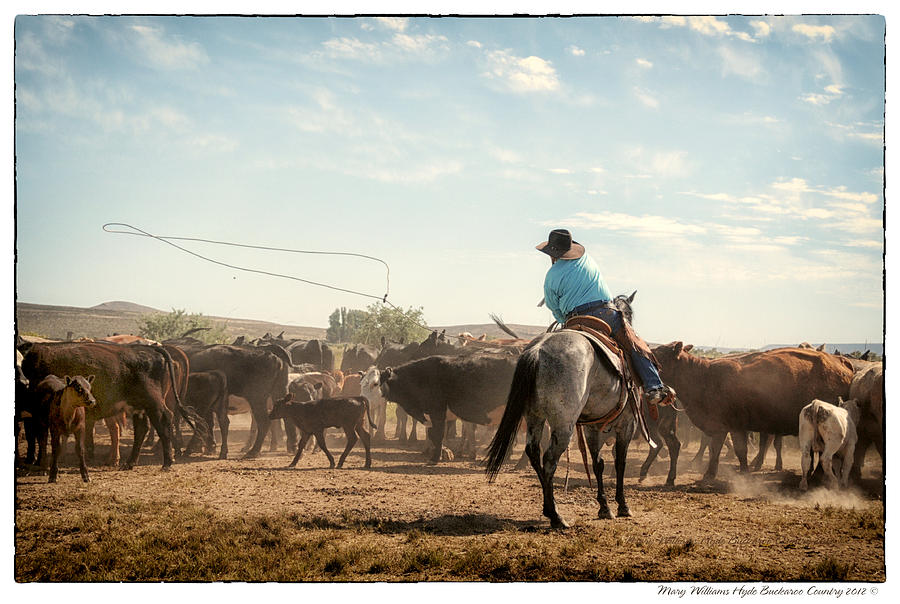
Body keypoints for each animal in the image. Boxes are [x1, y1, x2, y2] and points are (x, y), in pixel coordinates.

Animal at [486, 312, 640, 528]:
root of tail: (537, 351)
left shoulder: (592, 427)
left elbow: (598, 463)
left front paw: (604, 507)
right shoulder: (627, 425)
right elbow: (620, 463)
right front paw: (622, 506)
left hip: (534, 416)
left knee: (534, 452)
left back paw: (550, 509)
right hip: (563, 425)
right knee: (549, 459)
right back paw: (556, 516)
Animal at [652, 344, 856, 482]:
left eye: (657, 353)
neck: (705, 377)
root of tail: (841, 363)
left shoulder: (732, 426)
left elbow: (735, 449)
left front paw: (735, 473)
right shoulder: (721, 427)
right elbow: (718, 449)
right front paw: (718, 472)